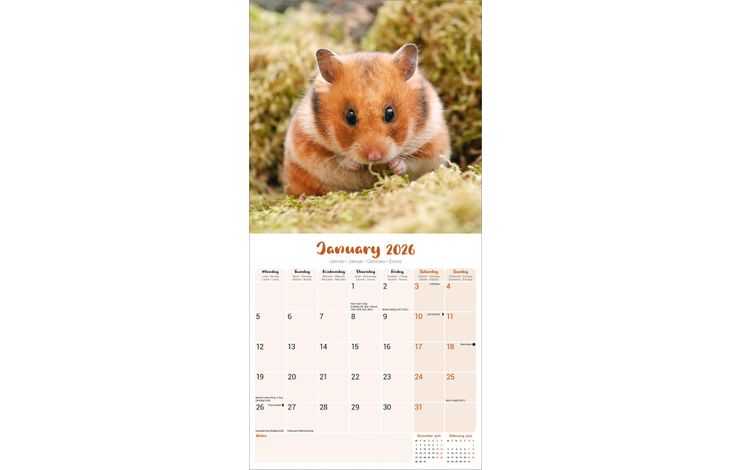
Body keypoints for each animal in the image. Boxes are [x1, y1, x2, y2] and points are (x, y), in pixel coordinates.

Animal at [282, 43, 450, 196]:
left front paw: (395, 164)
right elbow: (336, 161)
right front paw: (354, 163)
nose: (374, 156)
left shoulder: (434, 142)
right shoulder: (307, 145)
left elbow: (413, 162)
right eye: (350, 116)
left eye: (390, 113)